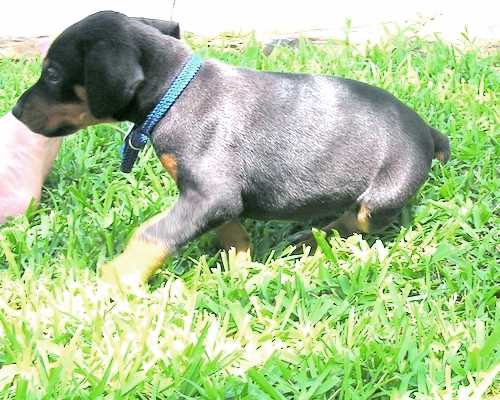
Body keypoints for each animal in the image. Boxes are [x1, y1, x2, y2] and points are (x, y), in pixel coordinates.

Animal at [12, 10, 450, 290]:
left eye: (52, 74)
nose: (15, 111)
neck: (175, 94)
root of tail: (427, 131)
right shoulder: (214, 197)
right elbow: (231, 228)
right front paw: (239, 265)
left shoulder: (210, 193)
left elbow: (152, 233)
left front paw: (117, 278)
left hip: (380, 197)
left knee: (354, 223)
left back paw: (310, 240)